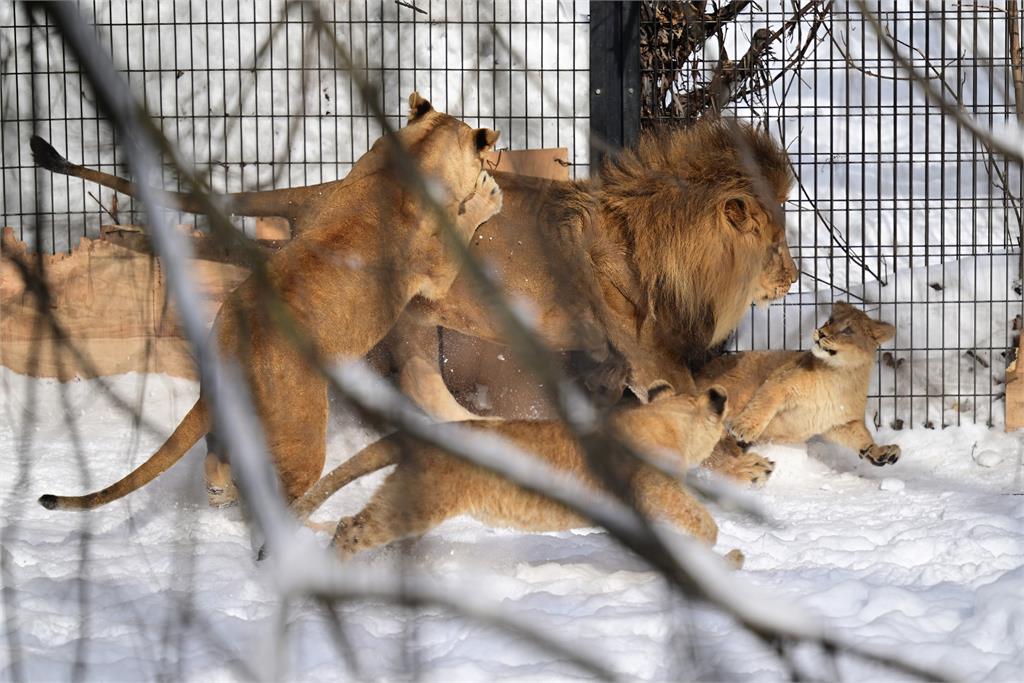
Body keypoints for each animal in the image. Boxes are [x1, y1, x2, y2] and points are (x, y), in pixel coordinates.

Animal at [37, 93, 501, 509]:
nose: (491, 170)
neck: (417, 155)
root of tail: (230, 351)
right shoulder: (435, 278)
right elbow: (462, 230)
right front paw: (487, 195)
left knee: (217, 459)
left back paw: (221, 493)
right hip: (302, 431)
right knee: (285, 492)